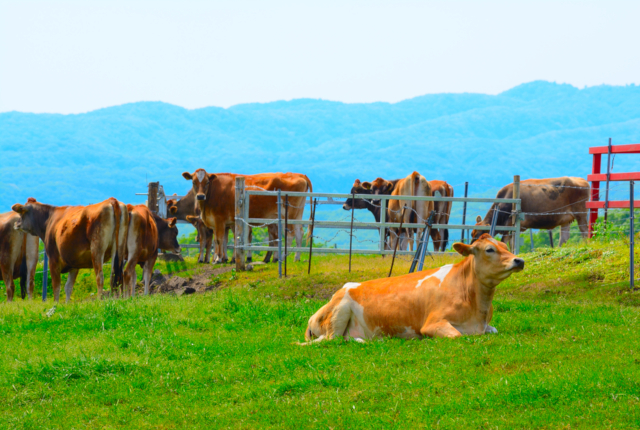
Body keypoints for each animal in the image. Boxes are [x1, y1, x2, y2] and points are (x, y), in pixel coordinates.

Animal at [182, 170, 312, 264]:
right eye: (193, 182)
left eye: (207, 182)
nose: (200, 196)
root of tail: (299, 175)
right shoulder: (220, 223)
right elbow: (220, 240)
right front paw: (221, 258)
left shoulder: (219, 220)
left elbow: (219, 240)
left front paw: (219, 259)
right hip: (297, 214)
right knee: (299, 233)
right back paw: (296, 258)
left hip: (288, 214)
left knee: (290, 234)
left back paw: (283, 257)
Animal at [304, 232, 524, 342]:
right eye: (489, 249)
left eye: (506, 246)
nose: (519, 260)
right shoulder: (432, 324)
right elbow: (457, 336)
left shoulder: (486, 326)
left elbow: (494, 330)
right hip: (338, 313)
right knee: (331, 340)